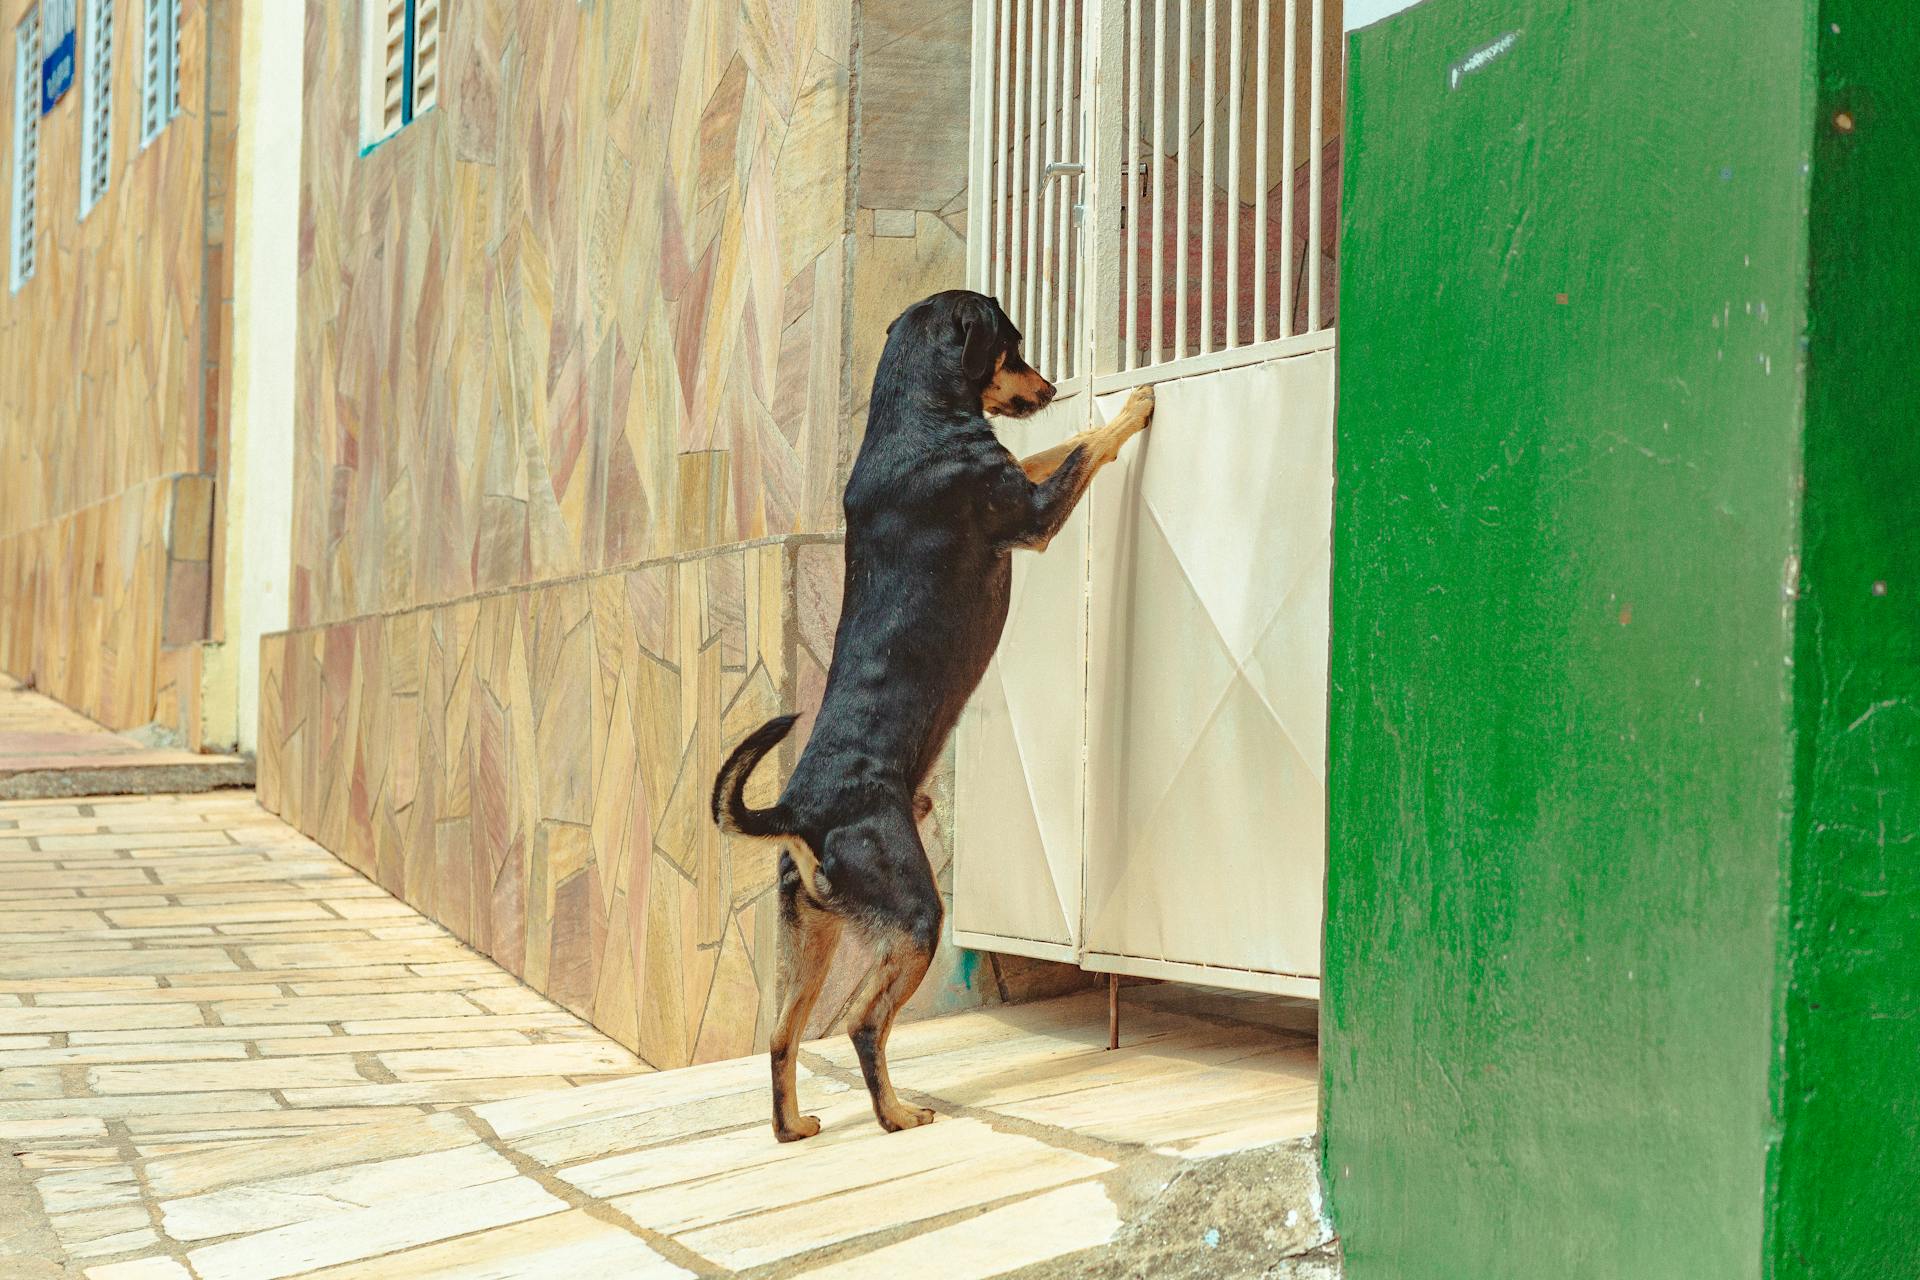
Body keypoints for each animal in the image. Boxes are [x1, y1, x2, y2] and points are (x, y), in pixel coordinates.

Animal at [710, 289, 1144, 1143]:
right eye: (1012, 345)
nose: (1048, 388)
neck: (914, 415)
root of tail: (797, 812)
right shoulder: (1034, 516)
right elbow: (1086, 445)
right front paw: (1135, 404)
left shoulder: (1021, 488)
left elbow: (1058, 449)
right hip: (914, 917)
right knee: (862, 1024)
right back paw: (897, 1114)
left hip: (811, 929)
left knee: (781, 1033)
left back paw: (794, 1127)